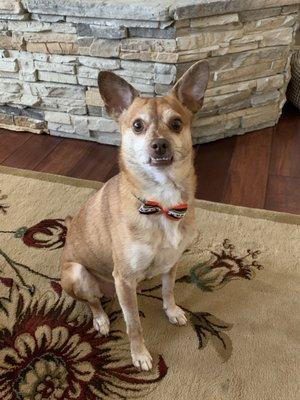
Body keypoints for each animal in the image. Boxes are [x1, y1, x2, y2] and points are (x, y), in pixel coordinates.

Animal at [60, 60, 210, 372]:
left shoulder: (171, 262)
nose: (160, 144)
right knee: (93, 302)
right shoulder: (125, 279)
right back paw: (101, 320)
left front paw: (172, 311)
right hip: (78, 274)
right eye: (138, 126)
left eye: (176, 124)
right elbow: (133, 326)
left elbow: (168, 290)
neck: (161, 200)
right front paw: (139, 355)